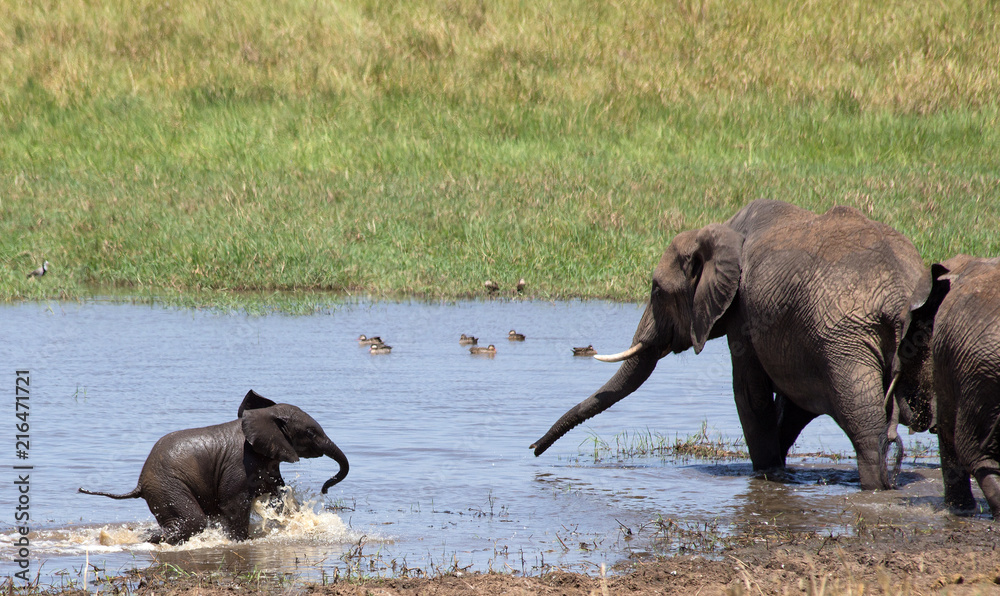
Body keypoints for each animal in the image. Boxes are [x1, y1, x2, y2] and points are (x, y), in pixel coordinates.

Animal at [79, 390, 349, 544]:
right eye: (311, 433)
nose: (325, 488)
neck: (264, 416)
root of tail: (138, 484)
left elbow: (279, 498)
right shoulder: (240, 464)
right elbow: (234, 505)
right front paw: (241, 543)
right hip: (166, 486)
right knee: (193, 521)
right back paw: (144, 538)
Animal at [531, 199, 925, 490]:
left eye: (656, 291)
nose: (533, 449)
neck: (721, 231)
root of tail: (896, 295)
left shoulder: (746, 313)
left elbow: (749, 393)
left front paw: (766, 474)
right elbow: (790, 405)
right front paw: (777, 472)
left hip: (844, 339)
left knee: (865, 426)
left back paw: (874, 488)